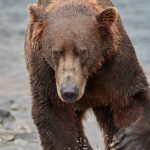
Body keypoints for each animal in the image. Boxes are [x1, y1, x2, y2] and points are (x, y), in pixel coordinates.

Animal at [24, 0, 150, 149]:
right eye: (56, 52)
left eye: (82, 52)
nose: (69, 92)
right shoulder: (44, 72)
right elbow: (52, 113)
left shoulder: (115, 66)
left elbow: (133, 98)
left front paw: (128, 140)